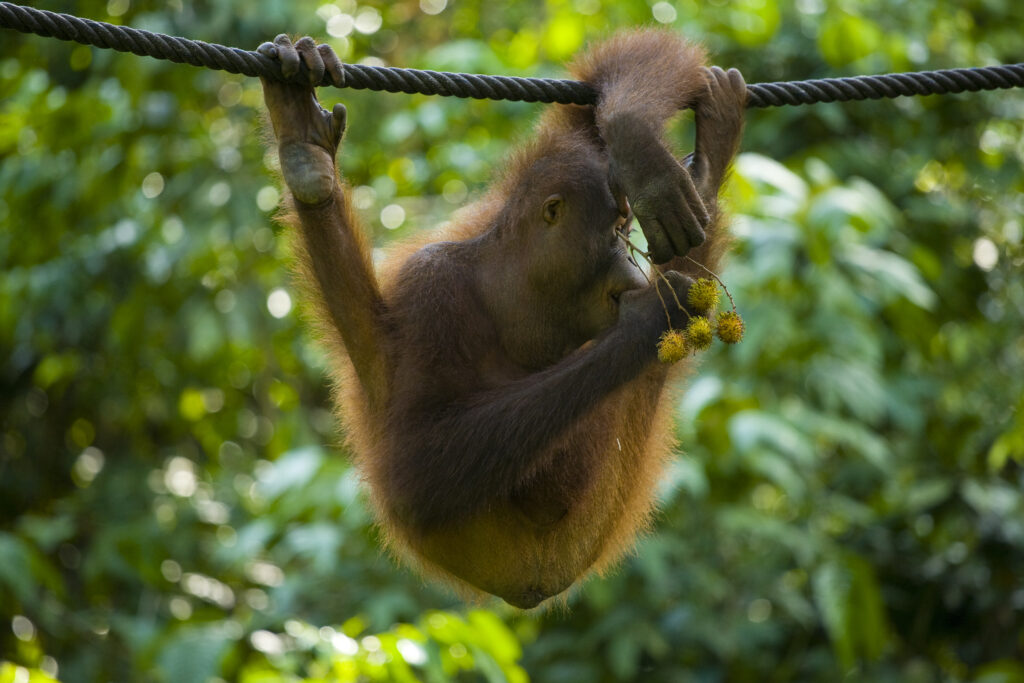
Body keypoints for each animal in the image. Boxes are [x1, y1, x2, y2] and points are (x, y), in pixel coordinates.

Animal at [258, 30, 745, 609]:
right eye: (615, 232)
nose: (631, 266)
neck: (515, 289)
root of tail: (533, 578)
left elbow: (589, 112)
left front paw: (638, 140)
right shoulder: (432, 289)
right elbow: (417, 462)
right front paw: (650, 318)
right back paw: (307, 160)